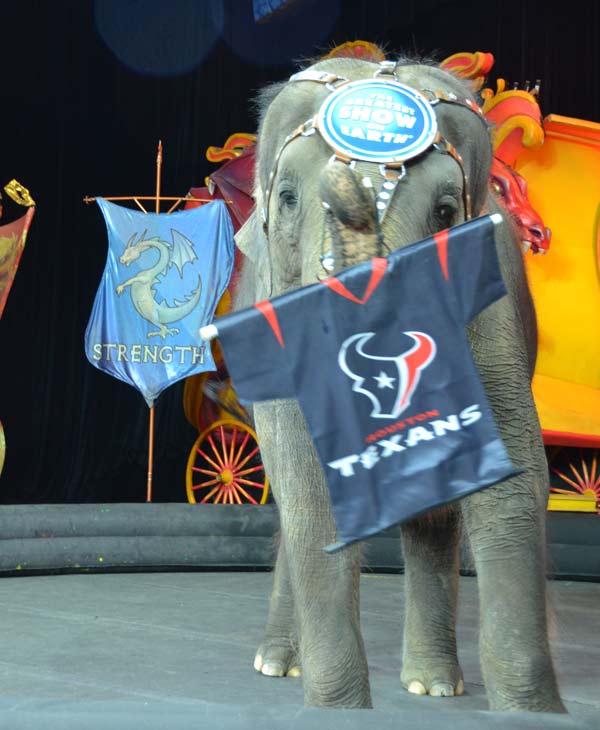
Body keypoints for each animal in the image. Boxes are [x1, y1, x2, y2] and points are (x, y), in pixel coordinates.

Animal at [232, 52, 565, 713]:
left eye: (445, 212)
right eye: (288, 198)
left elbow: (515, 473)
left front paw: (535, 710)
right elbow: (308, 480)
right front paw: (336, 708)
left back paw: (432, 684)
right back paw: (278, 663)